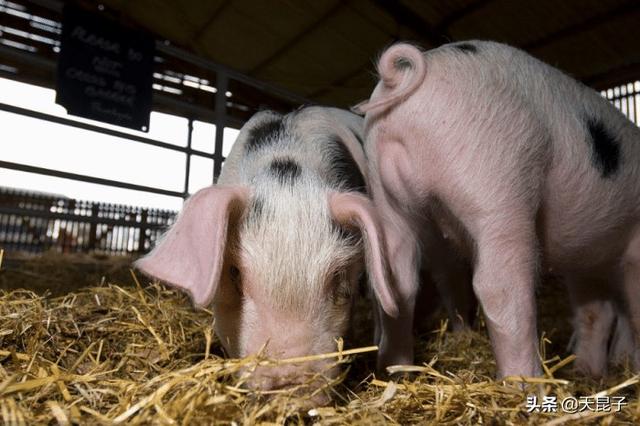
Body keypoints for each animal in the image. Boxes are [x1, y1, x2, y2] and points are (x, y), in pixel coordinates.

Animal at [352, 40, 640, 378]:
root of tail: (400, 76)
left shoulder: (584, 263)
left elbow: (595, 312)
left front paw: (590, 373)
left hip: (384, 193)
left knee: (399, 279)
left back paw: (396, 372)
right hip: (496, 183)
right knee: (499, 287)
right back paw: (529, 383)